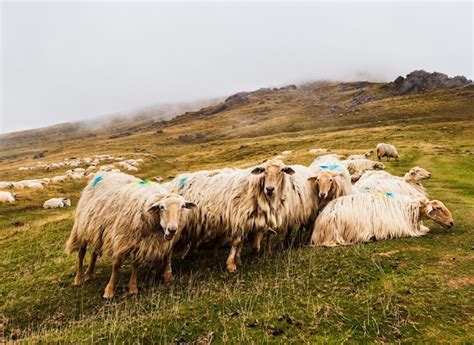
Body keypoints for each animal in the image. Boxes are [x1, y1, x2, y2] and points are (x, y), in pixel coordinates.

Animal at [65, 173, 196, 296]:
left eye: (183, 207)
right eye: (161, 207)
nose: (172, 230)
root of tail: (102, 174)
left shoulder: (141, 241)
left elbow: (136, 264)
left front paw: (133, 287)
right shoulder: (122, 238)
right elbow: (116, 265)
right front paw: (109, 290)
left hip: (98, 229)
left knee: (94, 252)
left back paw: (89, 274)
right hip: (82, 227)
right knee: (81, 254)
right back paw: (78, 279)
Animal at [168, 156, 296, 272]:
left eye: (281, 171)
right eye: (263, 170)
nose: (269, 189)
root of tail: (175, 180)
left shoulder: (247, 220)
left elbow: (241, 242)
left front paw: (238, 261)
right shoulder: (238, 217)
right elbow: (237, 242)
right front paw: (230, 264)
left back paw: (187, 255)